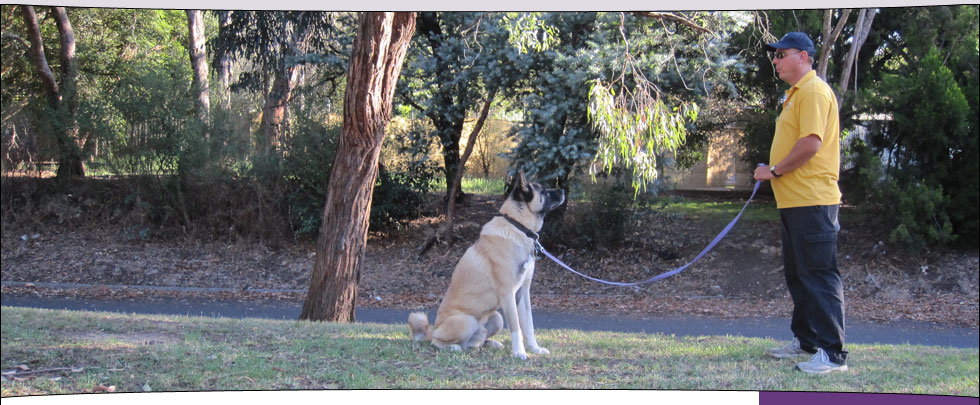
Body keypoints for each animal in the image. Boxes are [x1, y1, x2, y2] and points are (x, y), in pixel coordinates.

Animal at [410, 172, 568, 358]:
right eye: (543, 191)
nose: (563, 190)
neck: (518, 226)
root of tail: (433, 329)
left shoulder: (522, 294)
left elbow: (528, 326)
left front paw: (535, 349)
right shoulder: (508, 295)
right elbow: (516, 328)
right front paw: (519, 353)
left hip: (496, 318)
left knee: (474, 342)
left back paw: (490, 343)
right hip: (467, 321)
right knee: (437, 341)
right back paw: (453, 347)